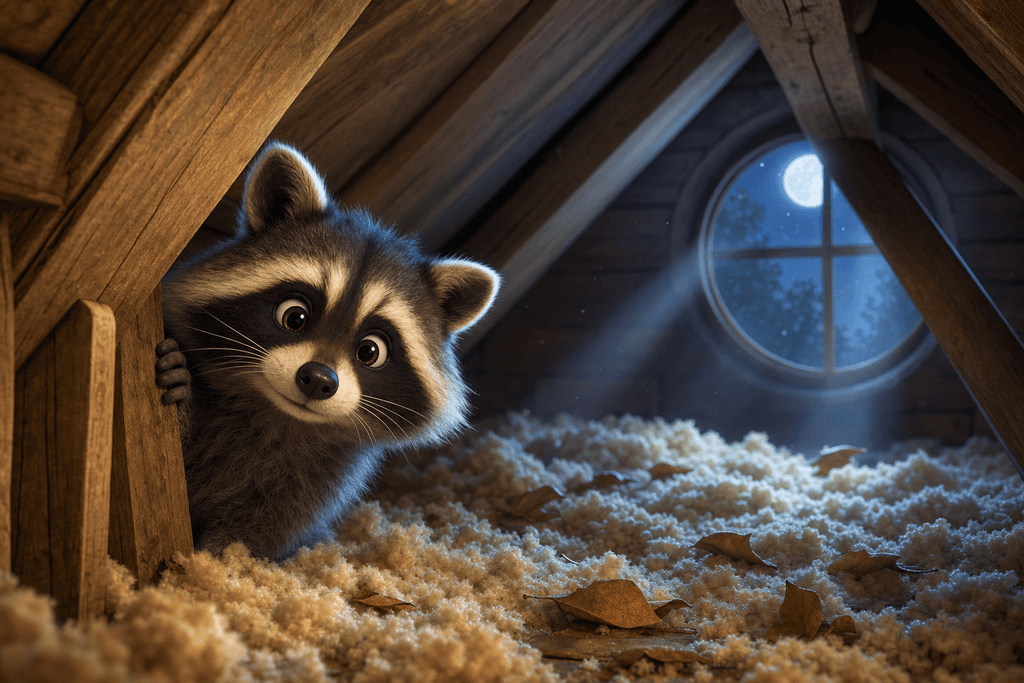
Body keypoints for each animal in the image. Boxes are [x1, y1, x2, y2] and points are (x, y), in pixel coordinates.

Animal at [157, 142, 499, 560]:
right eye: (295, 317)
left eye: (370, 351)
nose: (318, 379)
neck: (280, 417)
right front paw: (182, 387)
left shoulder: (323, 479)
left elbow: (267, 526)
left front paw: (224, 561)